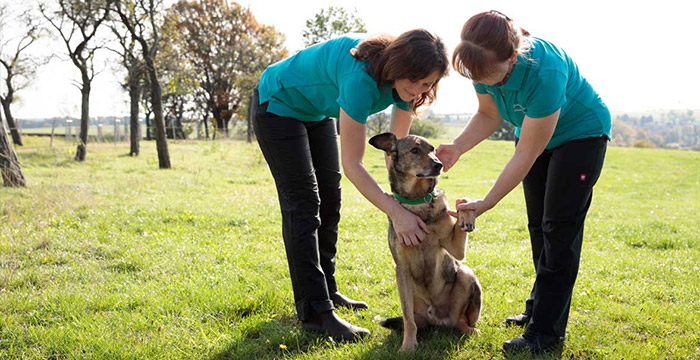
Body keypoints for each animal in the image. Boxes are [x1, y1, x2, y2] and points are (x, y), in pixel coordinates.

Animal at [366, 132, 482, 352]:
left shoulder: (456, 250)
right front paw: (408, 346)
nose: (438, 164)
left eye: (432, 149)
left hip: (466, 274)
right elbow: (408, 320)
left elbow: (461, 208)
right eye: (414, 150)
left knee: (460, 321)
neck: (418, 201)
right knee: (412, 320)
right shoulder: (401, 269)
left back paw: (470, 330)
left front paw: (467, 213)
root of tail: (436, 319)